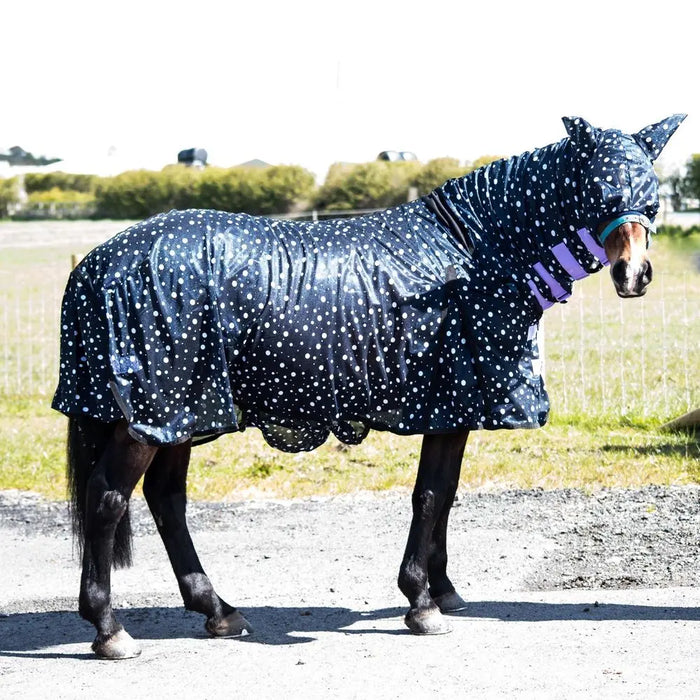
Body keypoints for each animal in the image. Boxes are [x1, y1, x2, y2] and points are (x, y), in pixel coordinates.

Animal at [52, 114, 685, 658]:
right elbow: (429, 495)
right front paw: (422, 602)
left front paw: (444, 591)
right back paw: (110, 629)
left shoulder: (451, 412)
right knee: (107, 499)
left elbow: (445, 494)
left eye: (652, 195)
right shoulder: (447, 405)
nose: (634, 274)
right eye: (601, 191)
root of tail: (95, 263)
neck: (466, 253)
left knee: (167, 500)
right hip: (153, 414)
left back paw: (218, 610)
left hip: (180, 415)